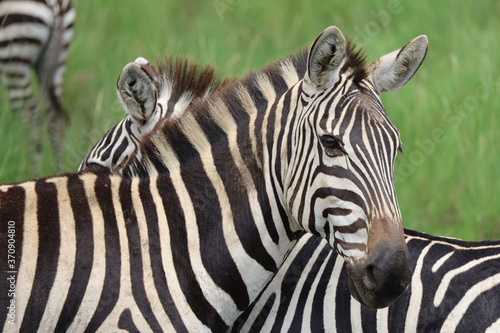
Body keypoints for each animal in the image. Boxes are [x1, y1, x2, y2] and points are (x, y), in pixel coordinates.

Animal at [0, 0, 74, 171]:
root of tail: (56, 5)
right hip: (55, 65)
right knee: (56, 121)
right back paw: (58, 172)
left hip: (13, 60)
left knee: (34, 121)